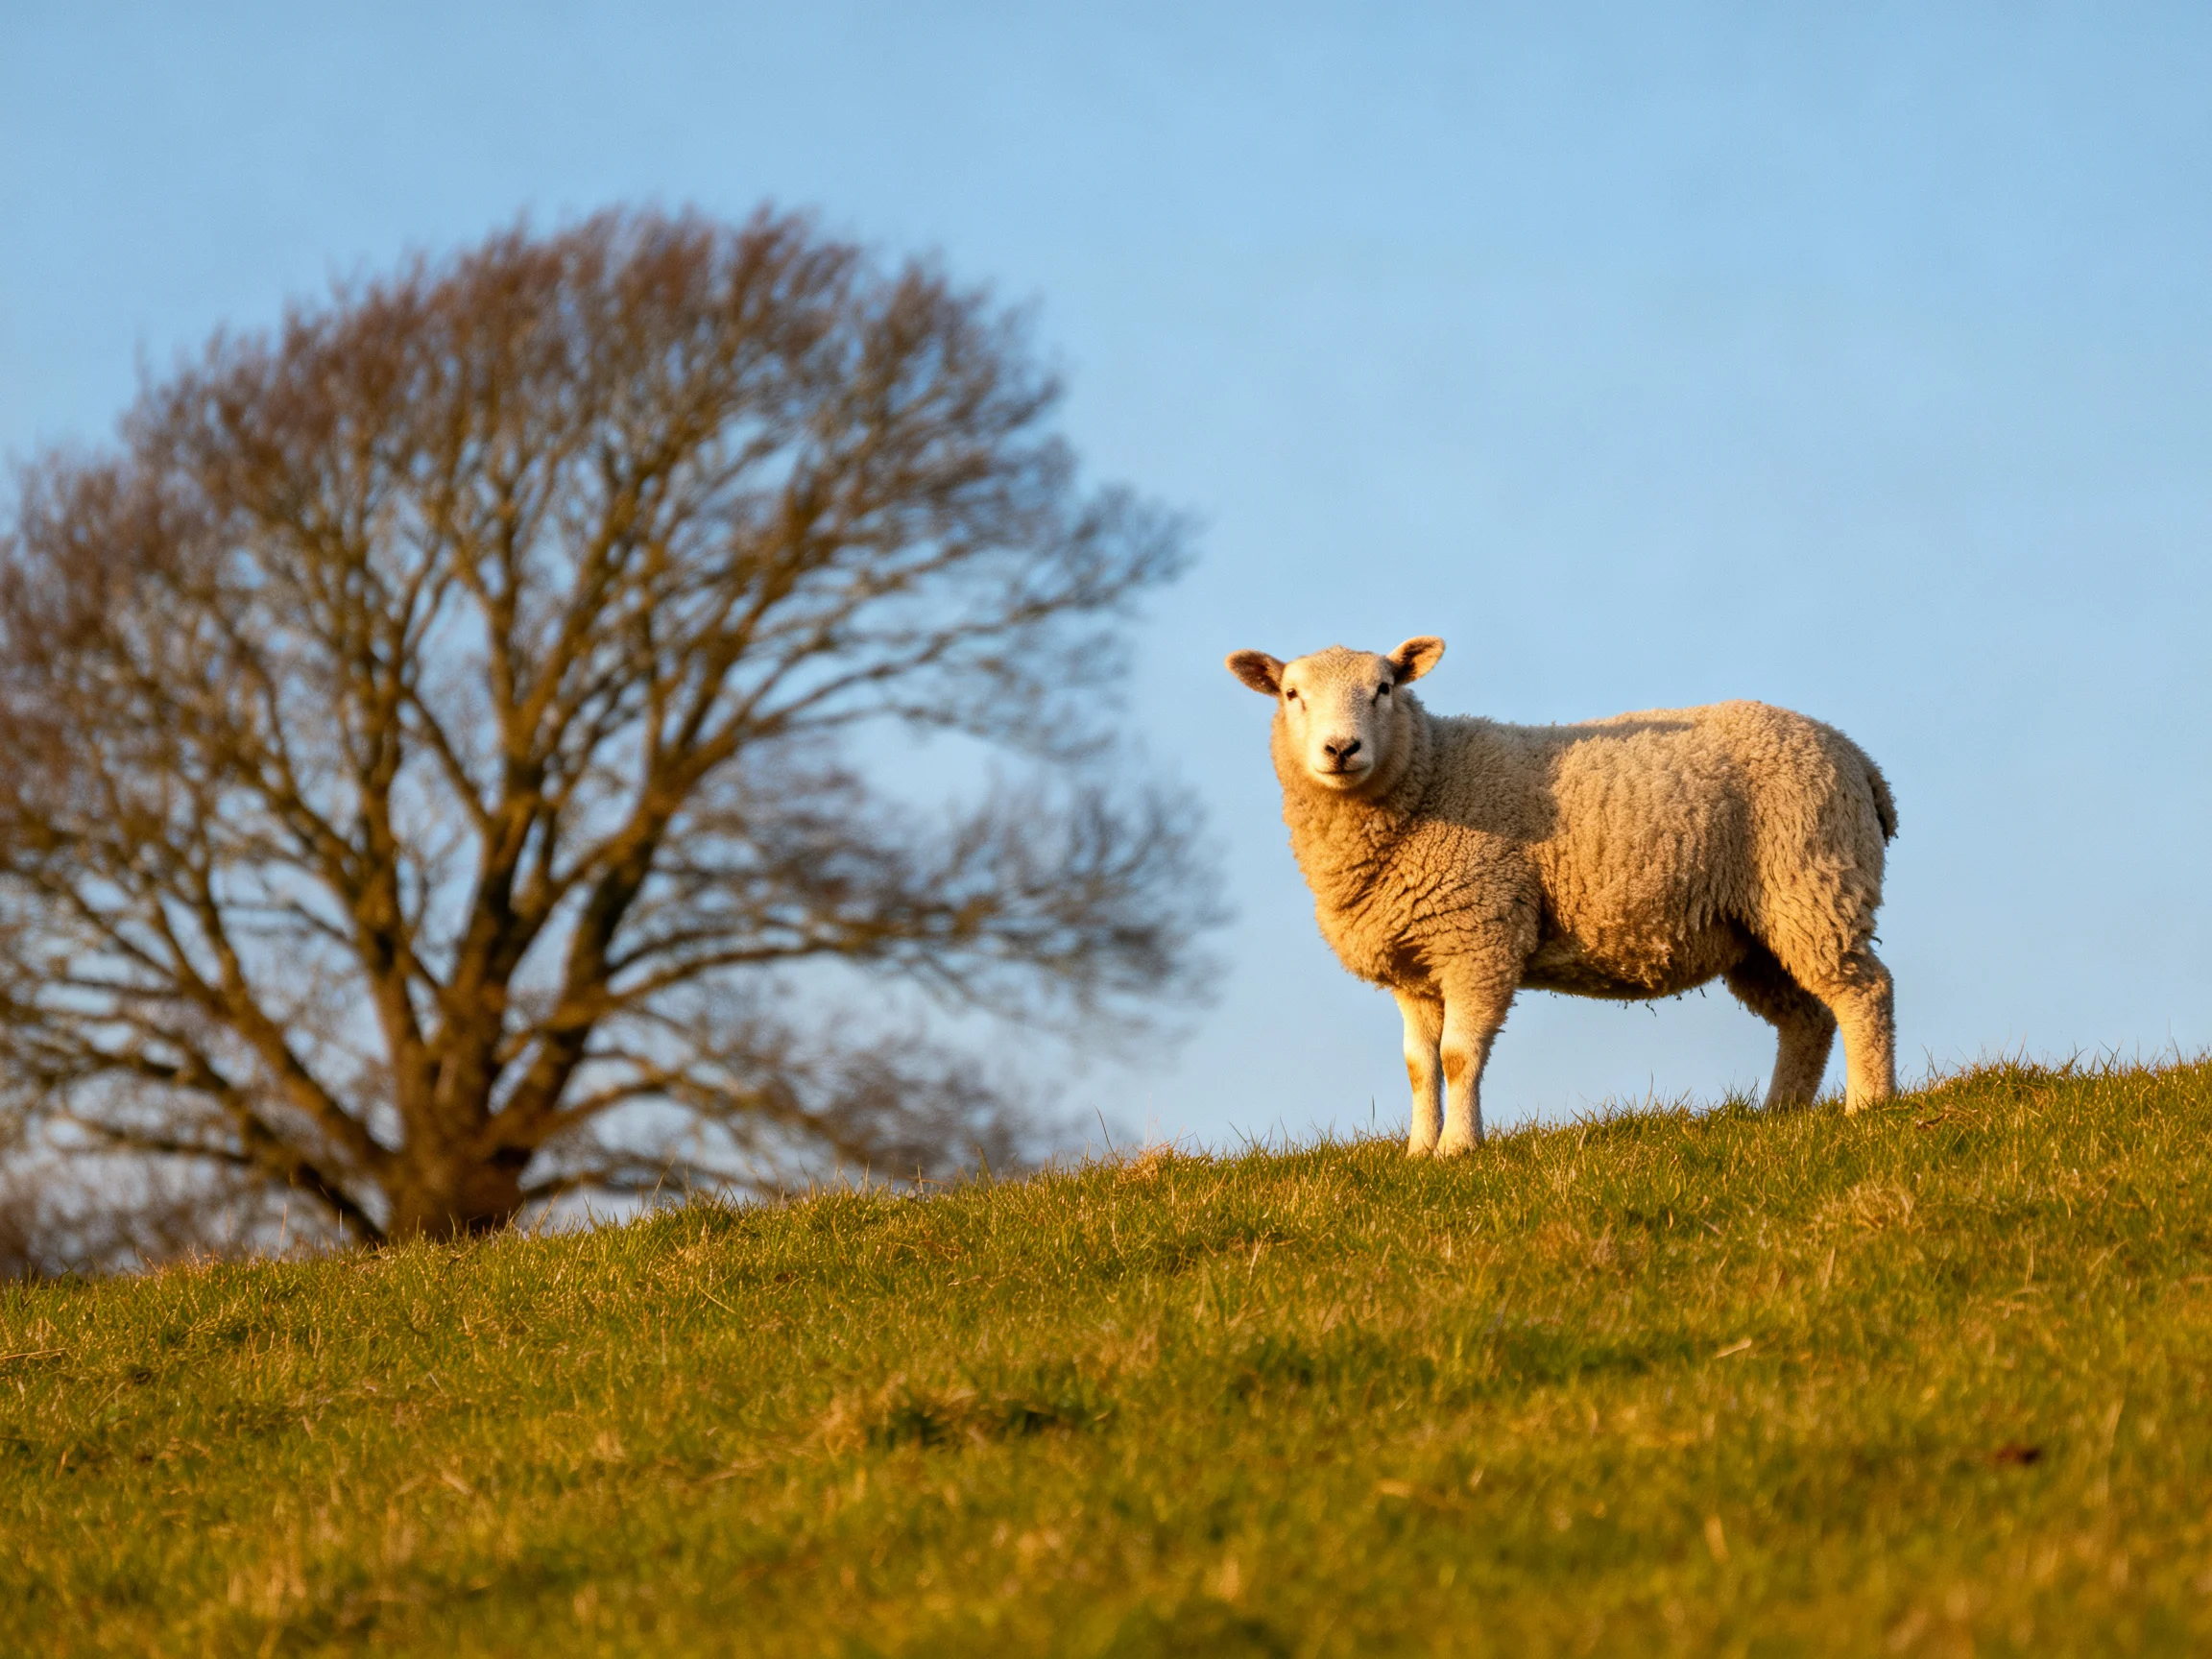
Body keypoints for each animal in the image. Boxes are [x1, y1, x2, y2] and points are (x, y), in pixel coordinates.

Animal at [1225, 637, 1898, 1154]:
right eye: (1292, 695)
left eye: (1384, 689)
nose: (1341, 749)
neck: (1429, 775)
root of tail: (1858, 758)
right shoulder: (1417, 964)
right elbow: (1419, 1066)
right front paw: (1417, 1152)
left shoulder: (1480, 936)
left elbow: (1458, 1056)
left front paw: (1458, 1150)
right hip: (1759, 929)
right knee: (1807, 1018)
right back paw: (1783, 1112)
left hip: (1813, 881)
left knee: (1865, 993)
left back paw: (1869, 1106)